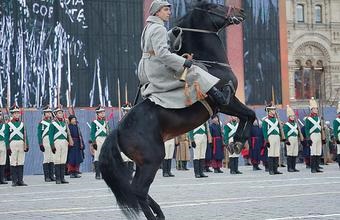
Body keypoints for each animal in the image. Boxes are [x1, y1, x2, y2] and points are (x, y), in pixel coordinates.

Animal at [98, 2, 255, 220]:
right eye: (215, 6)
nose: (240, 12)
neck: (213, 65)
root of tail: (118, 130)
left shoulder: (231, 103)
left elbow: (246, 116)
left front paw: (237, 142)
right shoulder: (227, 102)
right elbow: (250, 114)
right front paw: (238, 142)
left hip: (142, 163)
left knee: (136, 190)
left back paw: (159, 212)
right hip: (152, 159)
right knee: (138, 190)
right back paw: (156, 214)